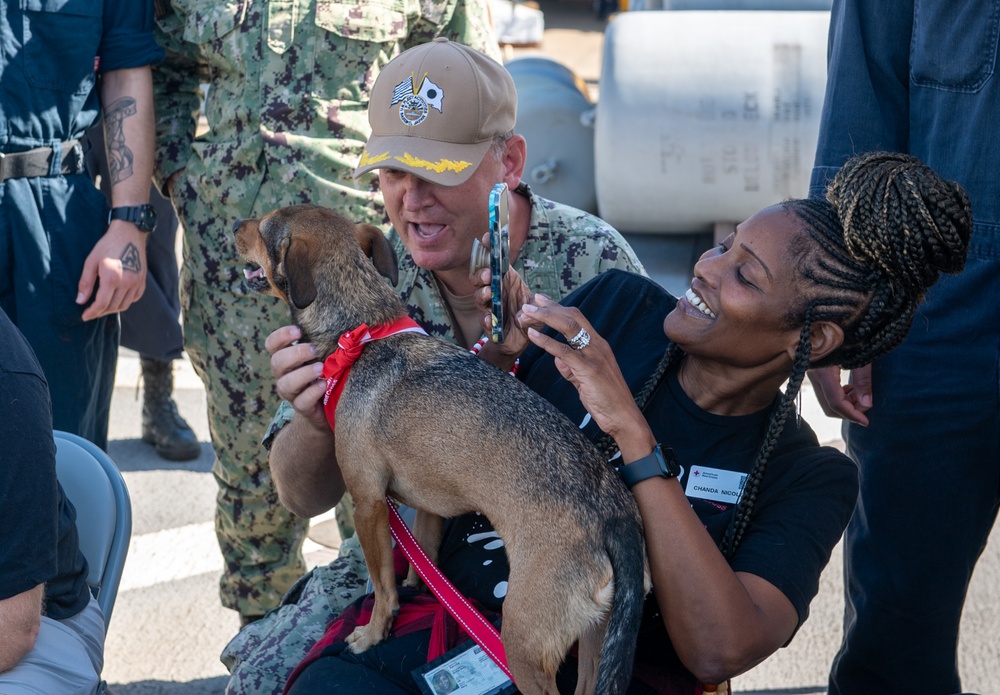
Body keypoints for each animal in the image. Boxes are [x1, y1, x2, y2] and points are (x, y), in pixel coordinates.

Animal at [234, 204, 648, 692]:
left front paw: (373, 632)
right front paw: (419, 589)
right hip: (595, 636)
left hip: (524, 640)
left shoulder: (367, 503)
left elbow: (382, 585)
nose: (235, 227)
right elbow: (423, 558)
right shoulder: (427, 505)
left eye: (263, 228)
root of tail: (614, 515)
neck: (362, 333)